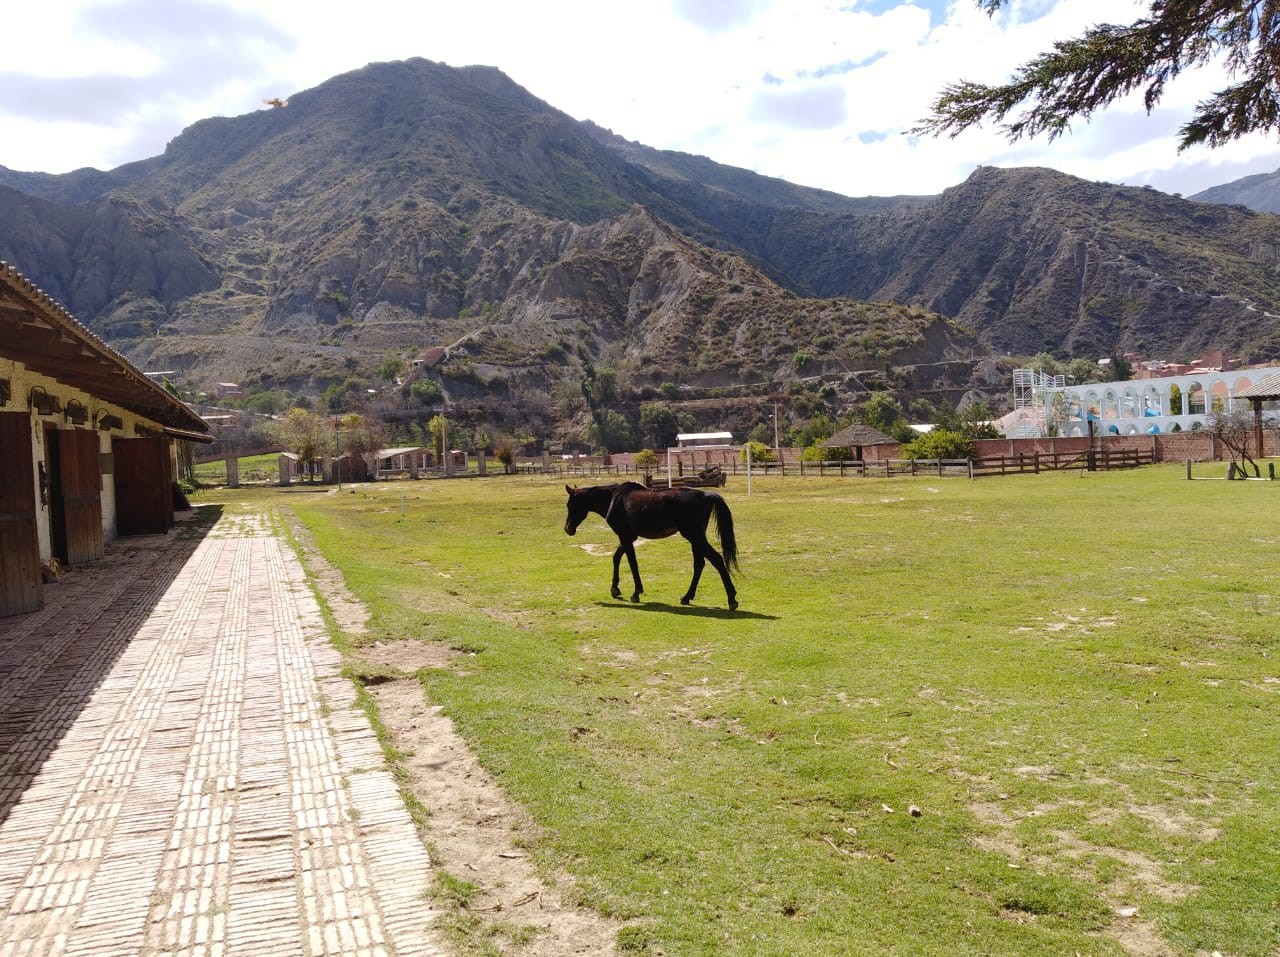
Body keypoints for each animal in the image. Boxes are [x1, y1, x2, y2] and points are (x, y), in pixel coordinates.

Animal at [563, 481, 742, 609]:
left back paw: (731, 599)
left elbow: (632, 563)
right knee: (700, 564)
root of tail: (706, 494)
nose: (568, 528)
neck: (613, 499)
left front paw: (636, 593)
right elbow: (616, 558)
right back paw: (687, 597)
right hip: (696, 539)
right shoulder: (628, 537)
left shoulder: (625, 537)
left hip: (695, 537)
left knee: (716, 560)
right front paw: (615, 589)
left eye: (570, 504)